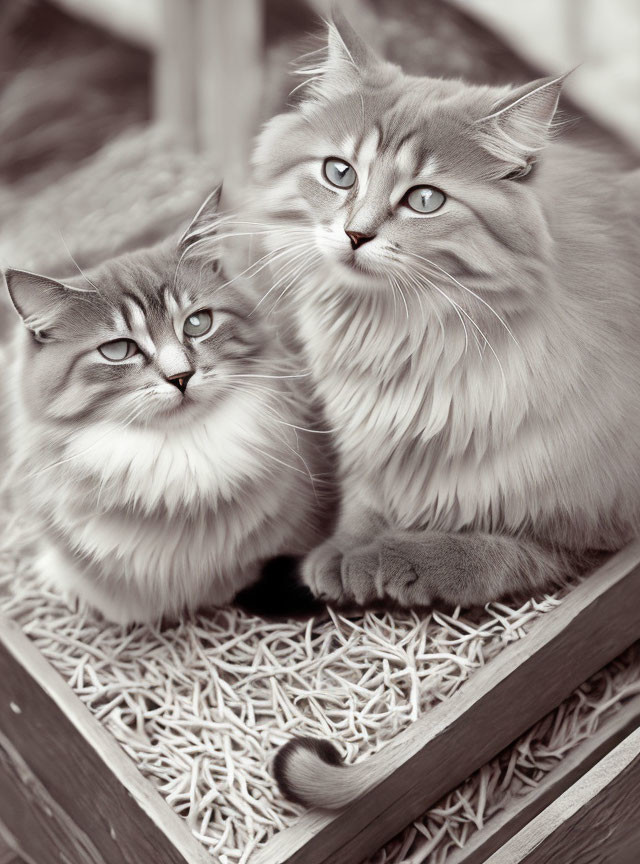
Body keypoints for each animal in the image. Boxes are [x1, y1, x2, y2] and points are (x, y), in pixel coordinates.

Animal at [246, 11, 640, 808]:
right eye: (340, 173)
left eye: (424, 199)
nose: (356, 234)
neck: (405, 350)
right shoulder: (365, 446)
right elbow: (364, 501)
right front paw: (344, 550)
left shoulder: (596, 524)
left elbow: (488, 546)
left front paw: (390, 559)